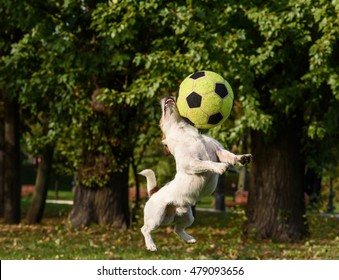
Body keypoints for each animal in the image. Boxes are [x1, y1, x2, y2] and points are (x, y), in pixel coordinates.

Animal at [139, 96, 252, 252]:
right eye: (160, 117)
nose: (168, 96)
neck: (186, 134)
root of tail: (154, 193)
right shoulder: (190, 162)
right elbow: (207, 163)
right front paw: (220, 167)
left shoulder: (219, 151)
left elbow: (230, 156)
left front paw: (242, 158)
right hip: (157, 216)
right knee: (145, 229)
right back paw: (151, 245)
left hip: (188, 217)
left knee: (177, 229)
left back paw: (189, 239)